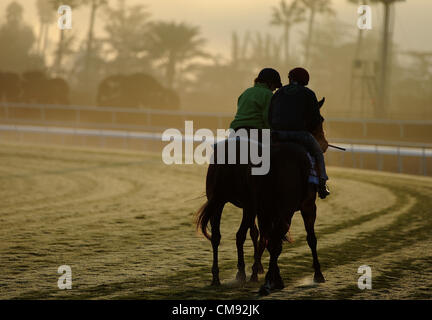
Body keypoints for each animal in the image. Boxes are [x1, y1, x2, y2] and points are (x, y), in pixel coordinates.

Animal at [196, 98, 328, 290]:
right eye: (320, 119)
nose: (324, 144)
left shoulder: (261, 208)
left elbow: (260, 235)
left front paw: (258, 270)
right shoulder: (307, 206)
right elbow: (309, 238)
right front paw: (318, 274)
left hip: (220, 202)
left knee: (219, 236)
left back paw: (218, 277)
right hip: (265, 207)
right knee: (252, 236)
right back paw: (249, 275)